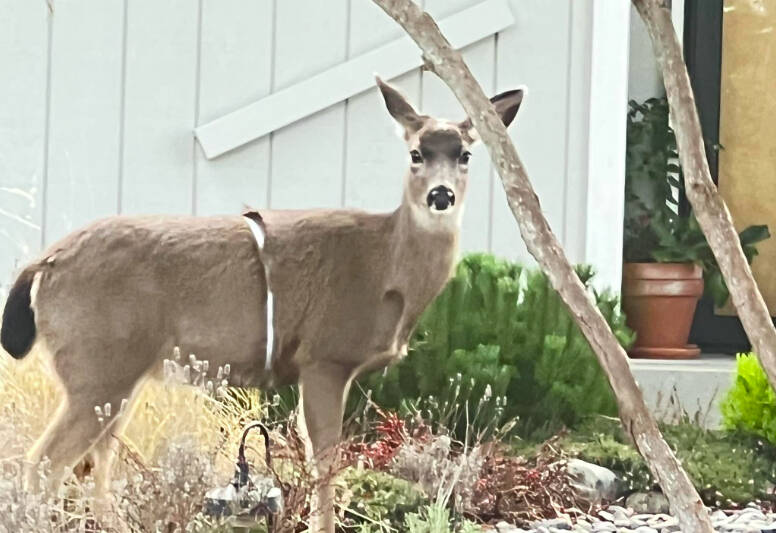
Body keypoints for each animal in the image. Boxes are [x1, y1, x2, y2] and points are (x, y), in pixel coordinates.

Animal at [0, 76, 523, 532]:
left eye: (466, 155)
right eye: (415, 153)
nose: (441, 195)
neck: (384, 267)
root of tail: (43, 264)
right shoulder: (325, 357)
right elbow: (325, 463)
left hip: (119, 373)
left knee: (93, 464)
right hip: (98, 364)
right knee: (44, 464)